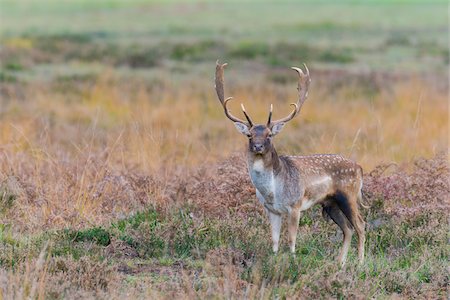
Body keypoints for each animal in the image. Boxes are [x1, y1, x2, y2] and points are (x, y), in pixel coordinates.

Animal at [214, 60, 366, 264]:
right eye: (249, 135)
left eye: (269, 135)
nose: (258, 146)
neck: (272, 192)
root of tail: (359, 168)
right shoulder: (271, 210)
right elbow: (275, 240)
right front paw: (274, 259)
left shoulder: (295, 205)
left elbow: (292, 239)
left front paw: (293, 261)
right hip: (330, 202)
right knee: (348, 229)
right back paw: (340, 263)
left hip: (348, 195)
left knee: (361, 225)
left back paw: (360, 263)